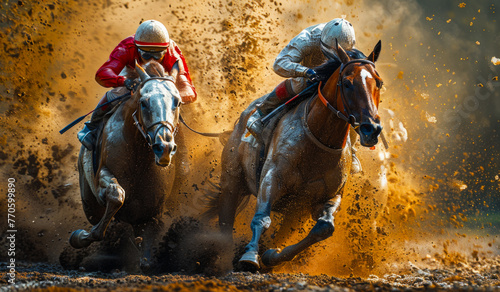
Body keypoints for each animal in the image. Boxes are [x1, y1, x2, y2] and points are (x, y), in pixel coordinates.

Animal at [207, 41, 382, 270]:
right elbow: (262, 218)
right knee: (226, 226)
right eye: (347, 83)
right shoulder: (272, 178)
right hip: (232, 181)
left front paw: (272, 254)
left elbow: (324, 228)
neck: (316, 144)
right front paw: (250, 256)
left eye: (379, 83)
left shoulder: (320, 200)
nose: (372, 129)